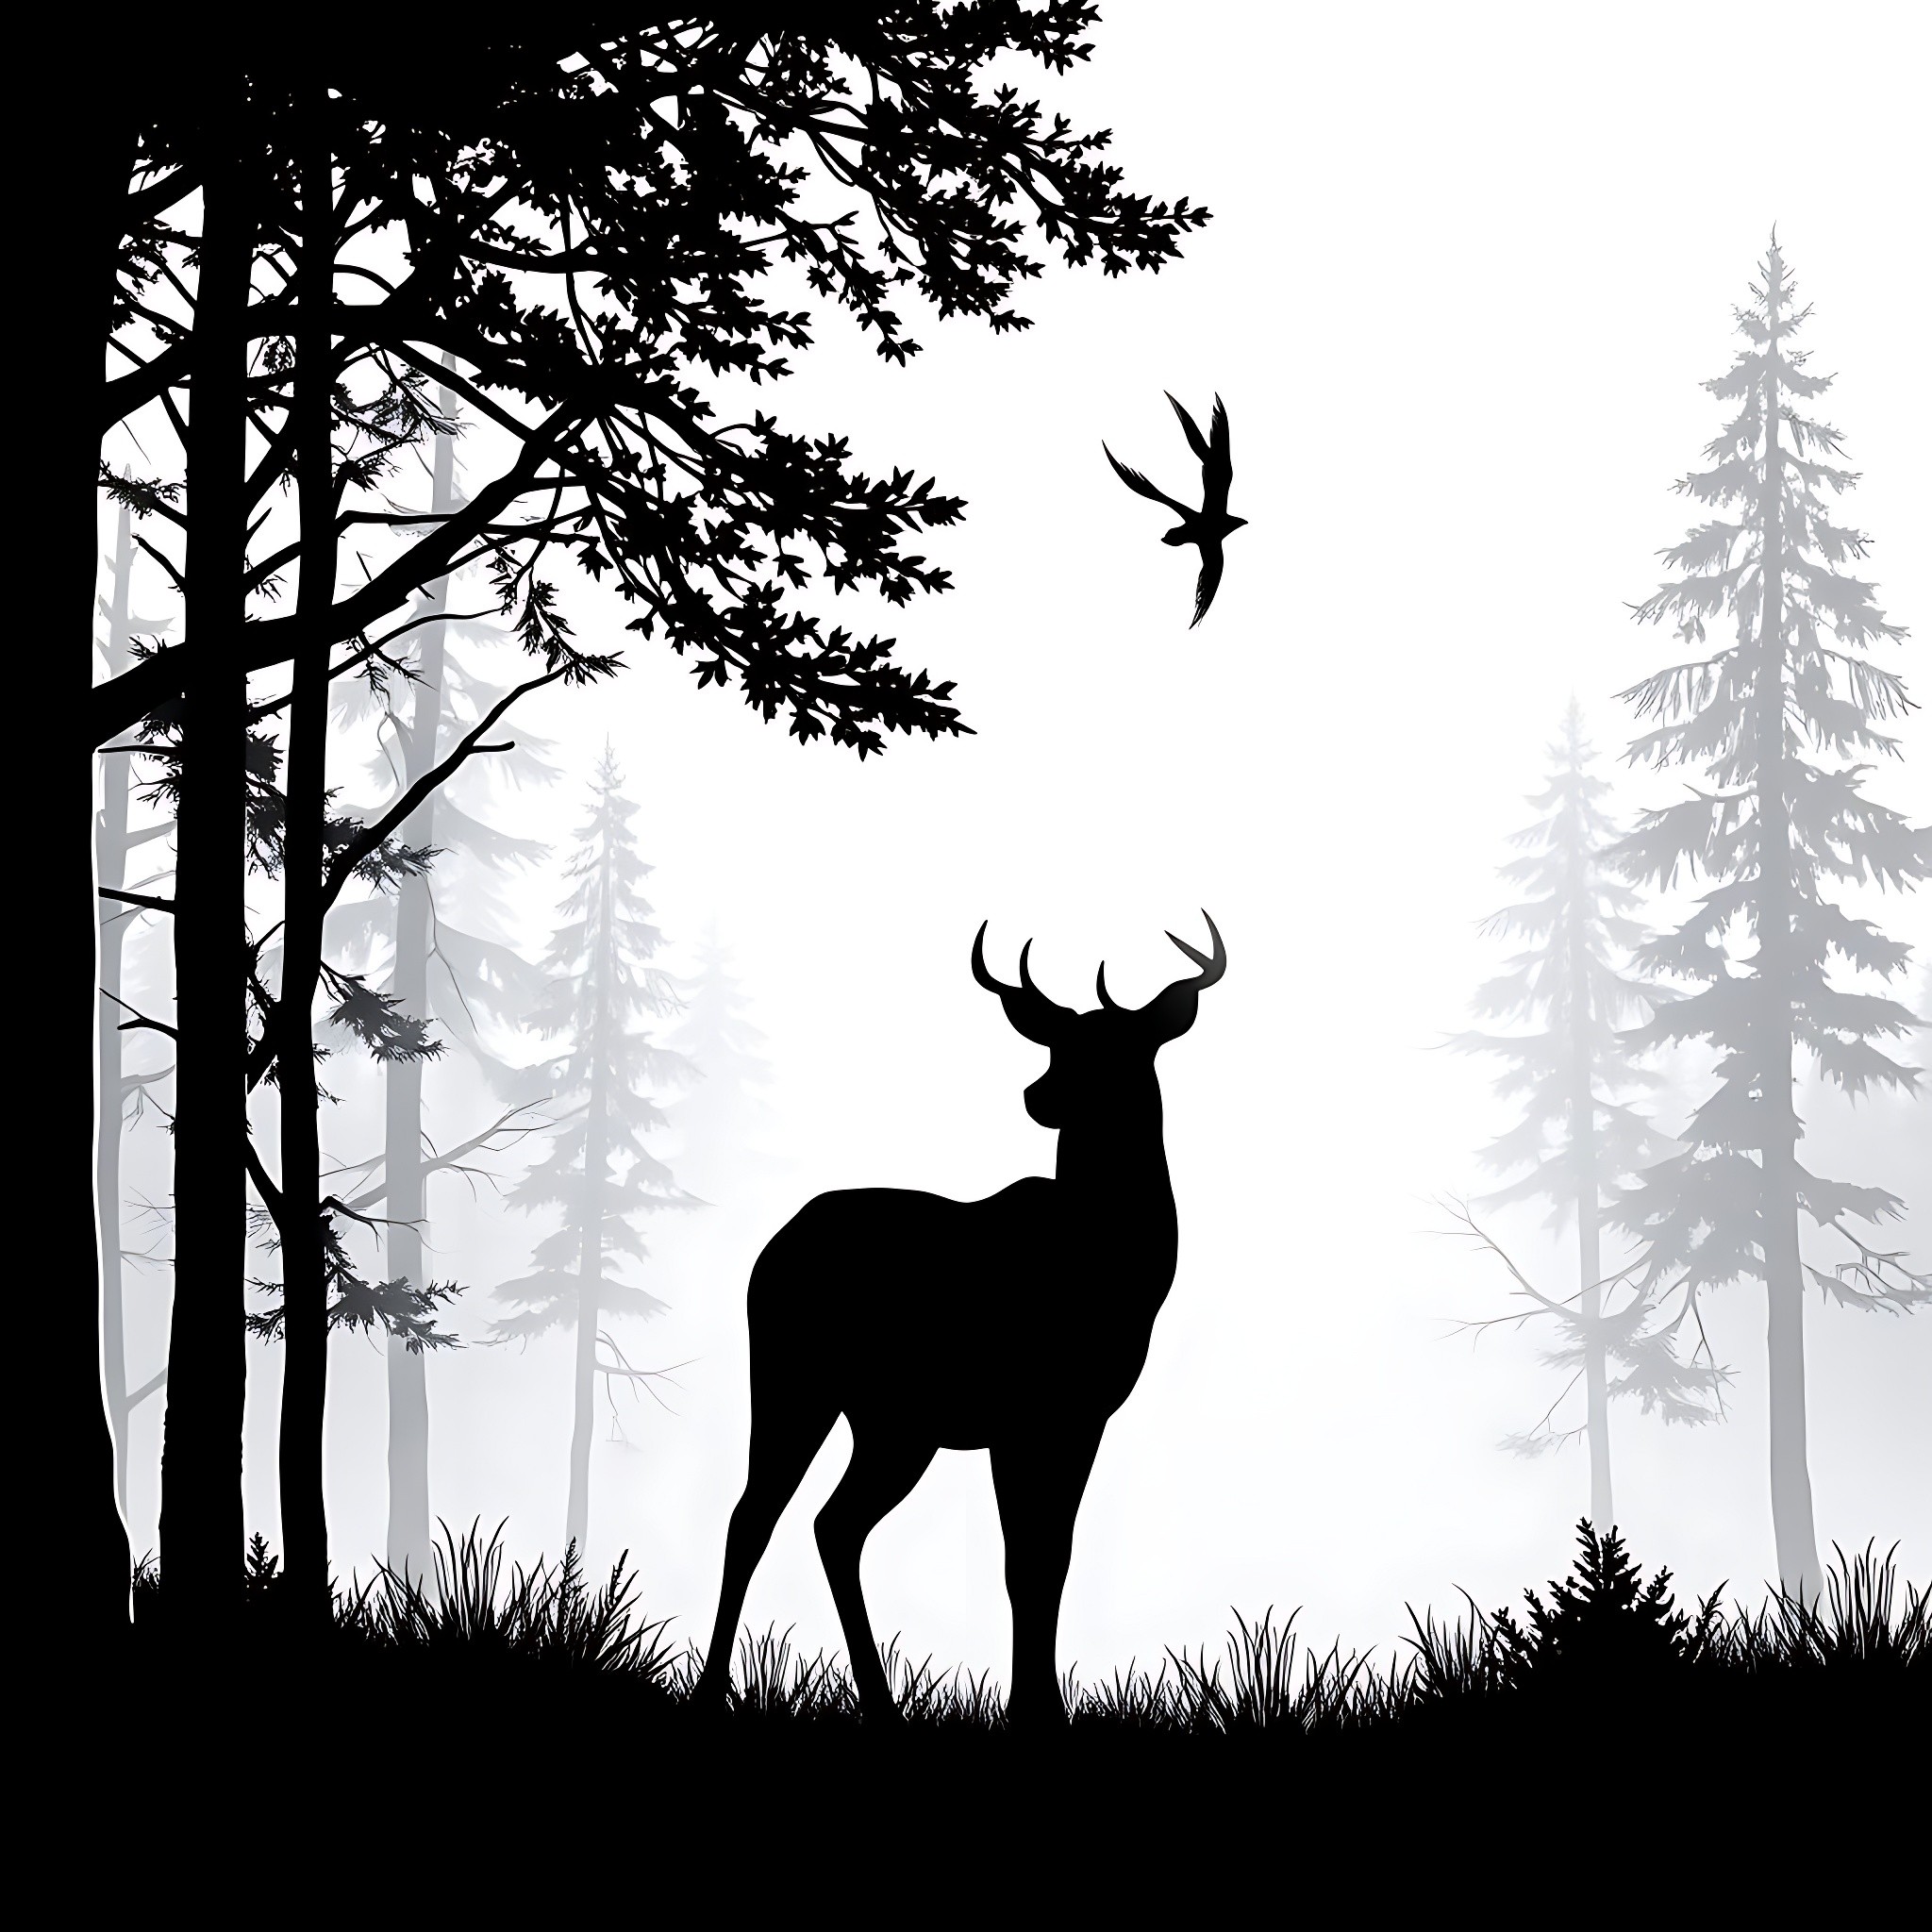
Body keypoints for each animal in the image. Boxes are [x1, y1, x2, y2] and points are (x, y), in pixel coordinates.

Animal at [694, 913, 1226, 1727]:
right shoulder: (1028, 1413)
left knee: (822, 1522)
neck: (1115, 1263)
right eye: (1057, 1047)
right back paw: (717, 1693)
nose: (1040, 1094)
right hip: (798, 1378)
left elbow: (1052, 1558)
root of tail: (769, 1253)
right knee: (763, 1514)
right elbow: (1026, 1562)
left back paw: (871, 1702)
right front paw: (1032, 1710)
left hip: (888, 1422)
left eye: (1120, 1049)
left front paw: (1037, 1705)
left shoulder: (1079, 1417)